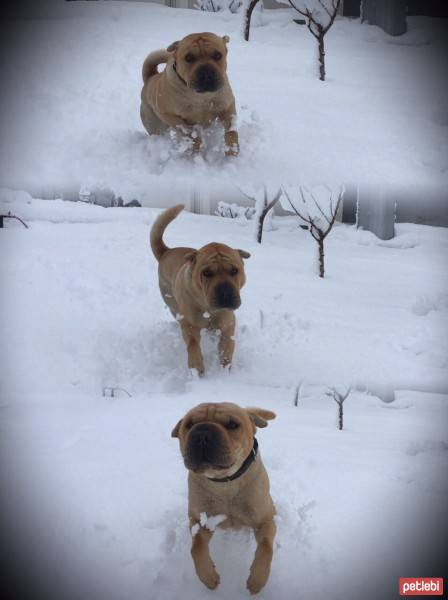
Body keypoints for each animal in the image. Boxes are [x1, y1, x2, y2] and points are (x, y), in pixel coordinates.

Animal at [150, 206, 248, 376]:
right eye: (207, 273)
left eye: (234, 270)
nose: (225, 293)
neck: (208, 309)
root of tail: (166, 251)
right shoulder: (189, 325)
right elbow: (193, 345)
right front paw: (196, 368)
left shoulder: (228, 325)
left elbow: (227, 350)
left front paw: (224, 371)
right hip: (172, 304)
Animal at [172, 404, 274, 596]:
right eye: (189, 424)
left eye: (232, 424)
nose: (202, 434)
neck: (225, 482)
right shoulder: (200, 521)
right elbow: (196, 548)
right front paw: (208, 576)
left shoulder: (265, 521)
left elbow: (266, 548)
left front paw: (257, 579)